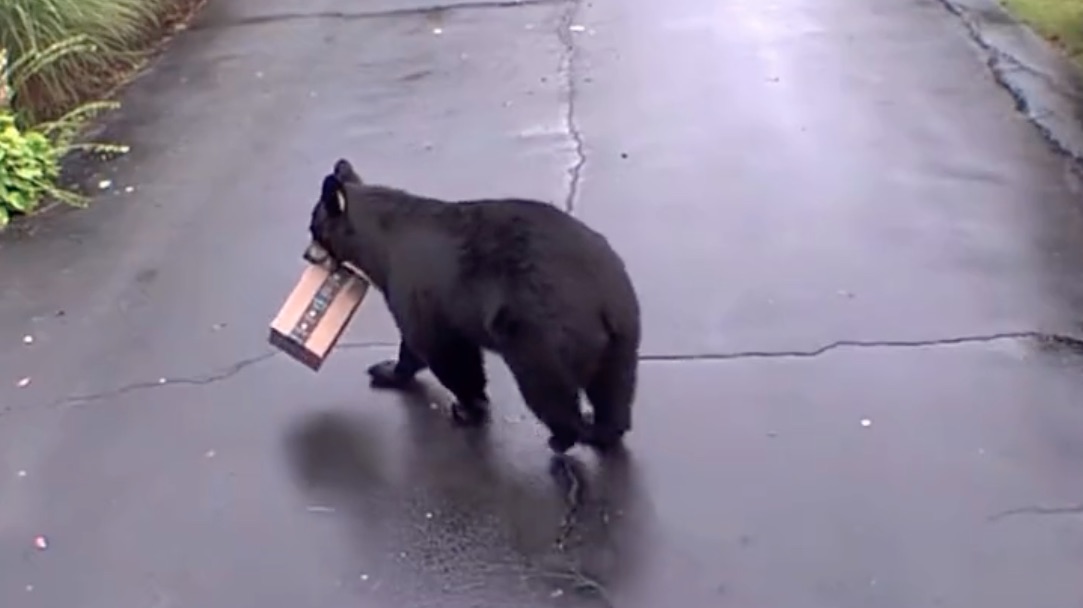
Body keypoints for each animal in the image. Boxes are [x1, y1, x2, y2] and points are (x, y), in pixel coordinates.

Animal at [308, 159, 641, 454]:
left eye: (314, 228)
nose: (306, 255)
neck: (383, 240)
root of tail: (599, 301)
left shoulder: (415, 284)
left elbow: (439, 346)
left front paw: (467, 406)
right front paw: (388, 369)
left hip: (538, 333)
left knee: (546, 387)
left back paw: (564, 437)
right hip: (624, 330)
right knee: (615, 387)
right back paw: (604, 430)